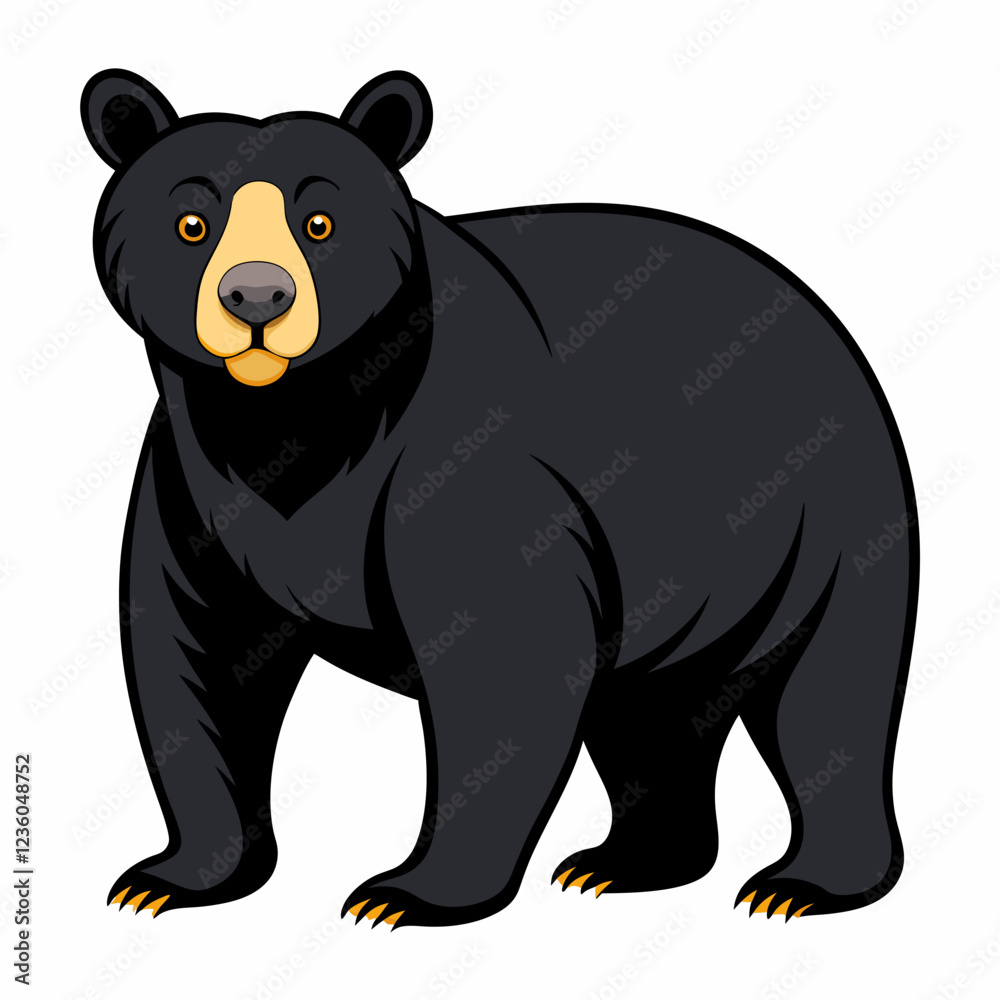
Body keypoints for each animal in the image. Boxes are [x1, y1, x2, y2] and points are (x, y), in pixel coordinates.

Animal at [83, 68, 918, 928]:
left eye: (319, 222)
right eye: (190, 222)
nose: (256, 298)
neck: (290, 415)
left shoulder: (468, 458)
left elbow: (503, 655)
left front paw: (406, 892)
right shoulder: (191, 481)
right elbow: (198, 657)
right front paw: (169, 877)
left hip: (825, 523)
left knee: (826, 695)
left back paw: (803, 884)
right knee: (649, 717)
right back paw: (625, 863)